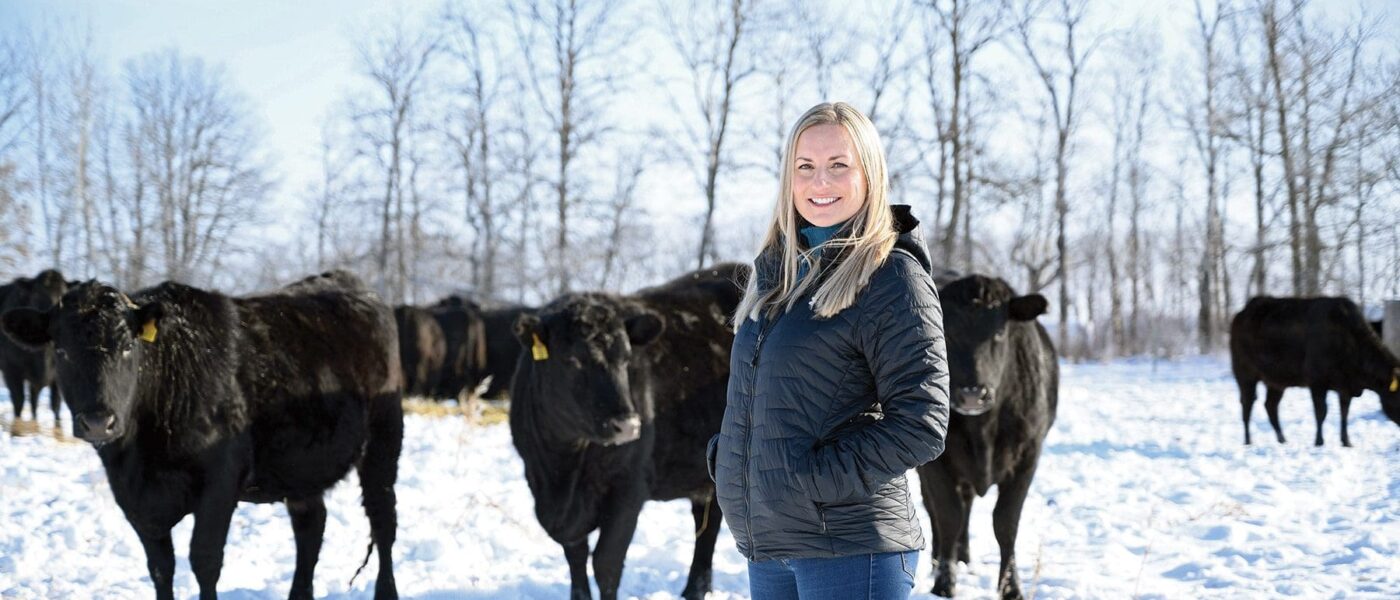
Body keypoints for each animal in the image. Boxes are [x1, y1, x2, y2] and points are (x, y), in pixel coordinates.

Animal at [512, 261, 750, 598]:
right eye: (571, 360)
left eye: (626, 359)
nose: (628, 424)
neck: (562, 467)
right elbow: (576, 560)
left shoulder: (627, 488)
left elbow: (606, 564)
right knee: (708, 522)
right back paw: (694, 588)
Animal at [912, 274, 1052, 598]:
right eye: (946, 331)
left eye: (1000, 332)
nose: (973, 394)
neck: (983, 431)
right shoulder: (935, 464)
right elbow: (948, 516)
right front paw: (944, 583)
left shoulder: (1028, 457)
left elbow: (1006, 522)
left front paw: (1011, 587)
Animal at [1232, 295, 1394, 444]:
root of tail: (1241, 314)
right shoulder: (1317, 383)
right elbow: (1321, 412)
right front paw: (1319, 441)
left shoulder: (1345, 386)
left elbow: (1344, 412)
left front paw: (1346, 441)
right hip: (1246, 376)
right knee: (1247, 403)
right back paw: (1248, 441)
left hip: (1276, 382)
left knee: (1270, 405)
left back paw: (1282, 439)